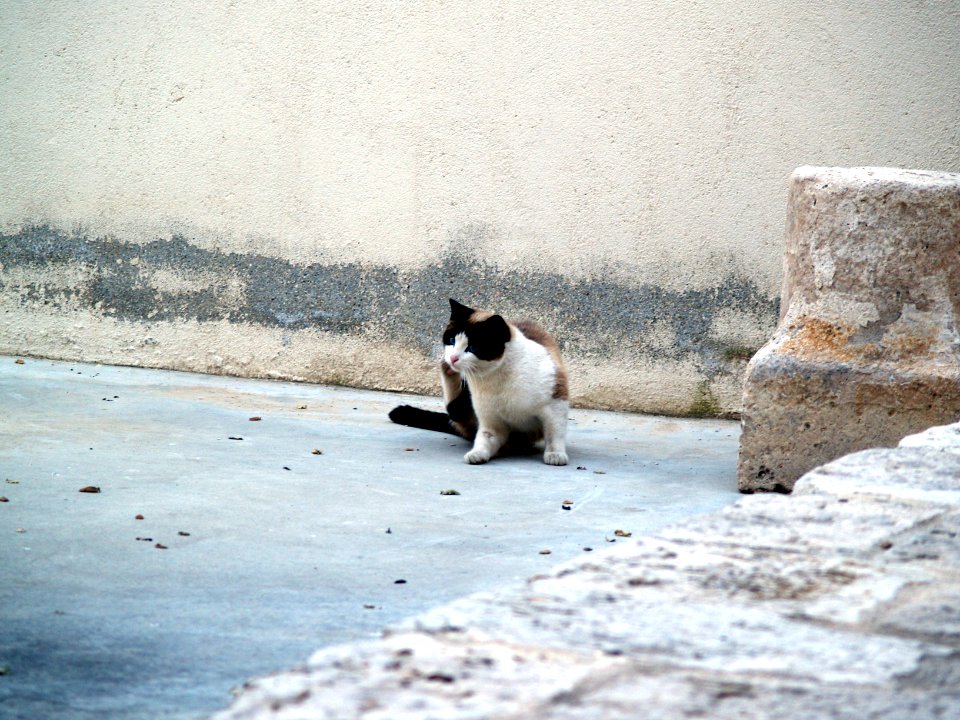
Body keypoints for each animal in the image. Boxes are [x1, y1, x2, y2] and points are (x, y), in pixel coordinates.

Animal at [388, 300, 568, 464]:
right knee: (454, 409)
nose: (453, 358)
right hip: (464, 405)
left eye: (472, 348)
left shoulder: (555, 406)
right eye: (452, 340)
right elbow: (485, 439)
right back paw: (447, 369)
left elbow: (554, 434)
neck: (496, 378)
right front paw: (477, 455)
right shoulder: (491, 421)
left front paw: (555, 455)